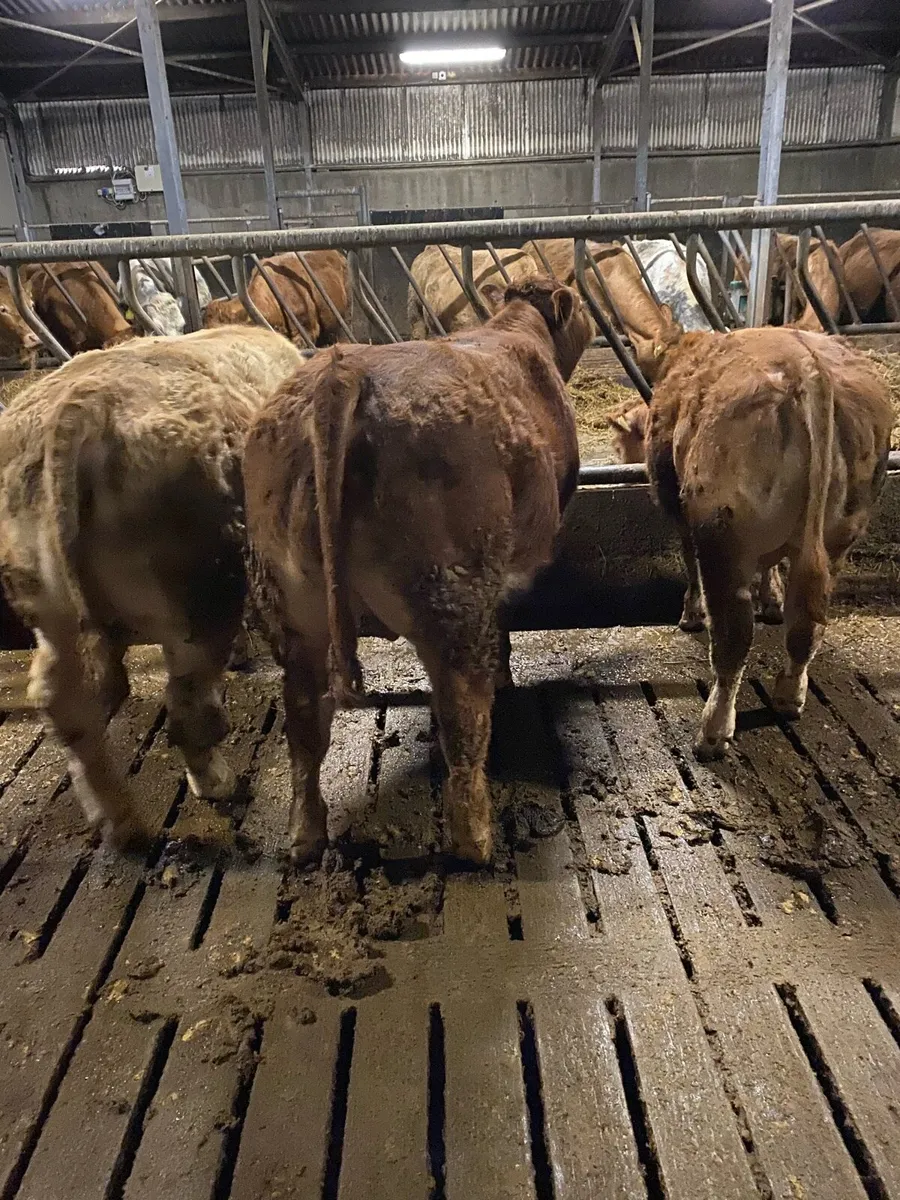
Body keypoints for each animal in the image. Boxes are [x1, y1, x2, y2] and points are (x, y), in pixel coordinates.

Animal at [0, 326, 304, 851]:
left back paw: (121, 823)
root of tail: (78, 405)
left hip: (50, 610)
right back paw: (216, 782)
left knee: (65, 701)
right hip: (197, 600)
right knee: (187, 708)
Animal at [243, 278, 593, 866]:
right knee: (463, 715)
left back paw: (306, 835)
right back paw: (476, 840)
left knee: (303, 724)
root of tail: (342, 372)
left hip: (291, 607)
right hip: (450, 592)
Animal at [643, 325, 890, 760]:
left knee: (734, 635)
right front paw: (771, 600)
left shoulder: (679, 507)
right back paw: (790, 695)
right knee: (807, 623)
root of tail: (808, 367)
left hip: (722, 531)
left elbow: (688, 561)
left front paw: (690, 614)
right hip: (842, 532)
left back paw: (712, 732)